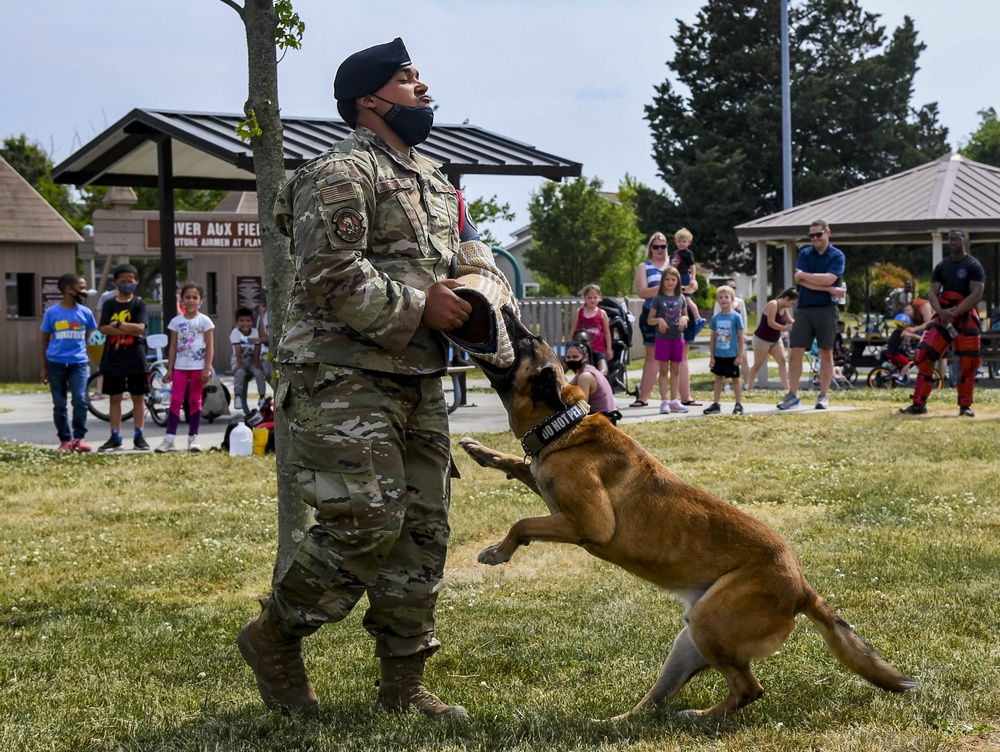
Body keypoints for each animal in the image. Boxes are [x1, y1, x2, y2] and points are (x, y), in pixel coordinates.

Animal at [460, 308, 916, 720]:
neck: (563, 424)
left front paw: (497, 551)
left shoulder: (588, 524)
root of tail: (803, 588)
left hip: (708, 624)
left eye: (525, 342)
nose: (506, 311)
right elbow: (519, 467)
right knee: (657, 703)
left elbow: (522, 523)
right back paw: (617, 723)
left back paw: (697, 717)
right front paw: (482, 452)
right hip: (690, 639)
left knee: (748, 688)